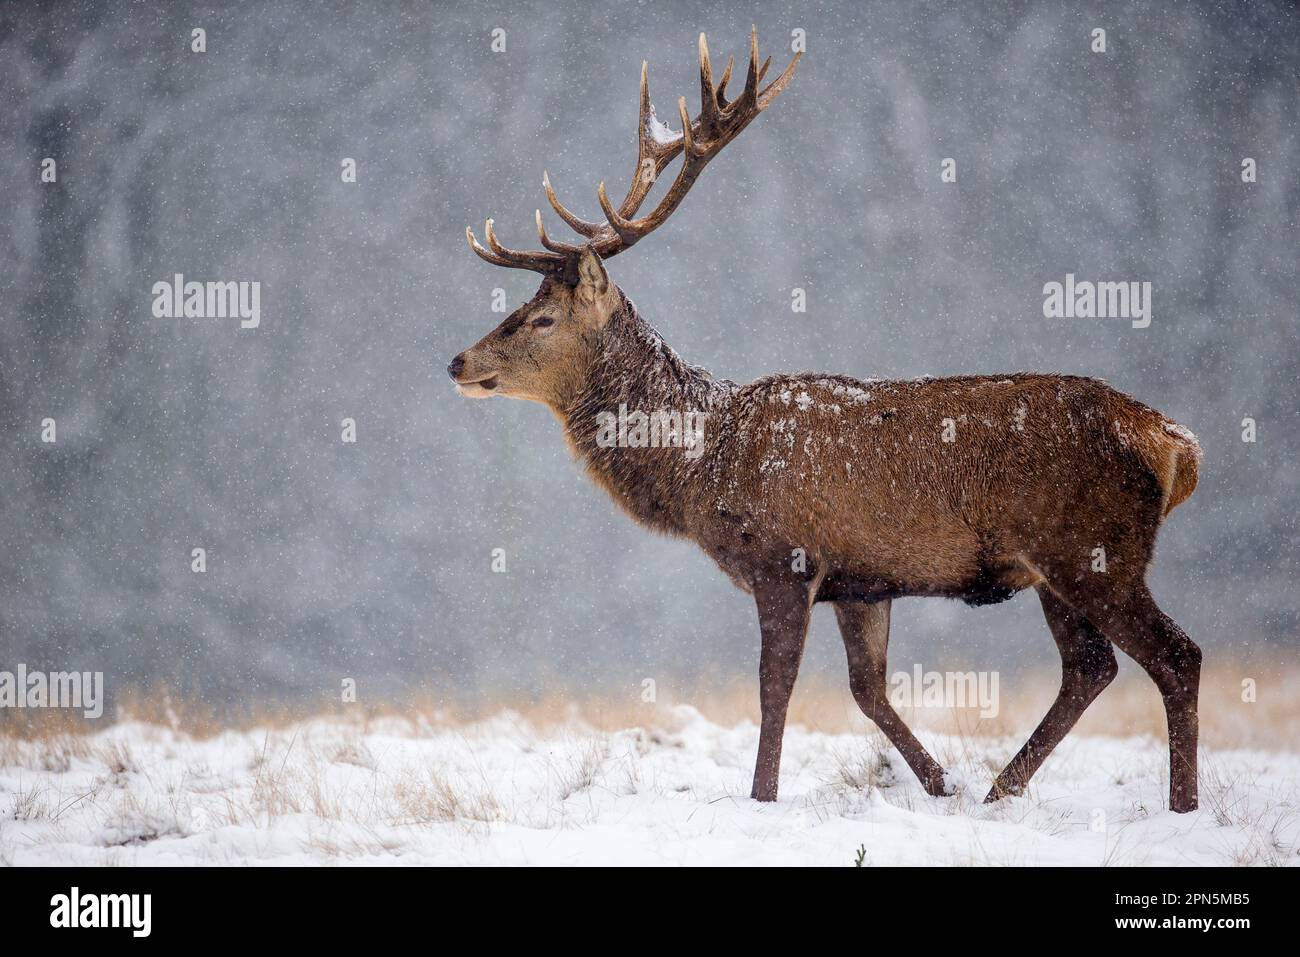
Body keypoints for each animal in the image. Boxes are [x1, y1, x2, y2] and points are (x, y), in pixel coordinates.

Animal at [449, 28, 1204, 812]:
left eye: (542, 317)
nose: (458, 361)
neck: (700, 465)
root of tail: (1175, 442)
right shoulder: (861, 581)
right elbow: (868, 690)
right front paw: (940, 783)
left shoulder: (786, 556)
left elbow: (774, 687)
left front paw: (762, 796)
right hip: (1063, 566)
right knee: (1092, 667)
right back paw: (1001, 788)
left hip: (1094, 548)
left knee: (1175, 655)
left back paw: (1180, 805)